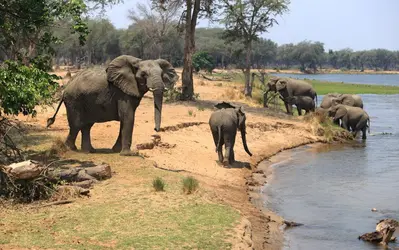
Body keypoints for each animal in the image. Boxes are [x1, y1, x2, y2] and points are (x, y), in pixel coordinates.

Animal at [46, 55, 179, 155]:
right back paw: (71, 148)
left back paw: (89, 151)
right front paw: (129, 154)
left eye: (162, 74)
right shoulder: (122, 93)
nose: (156, 130)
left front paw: (116, 151)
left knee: (87, 125)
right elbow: (128, 117)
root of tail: (66, 88)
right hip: (74, 100)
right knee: (77, 124)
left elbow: (125, 119)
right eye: (143, 75)